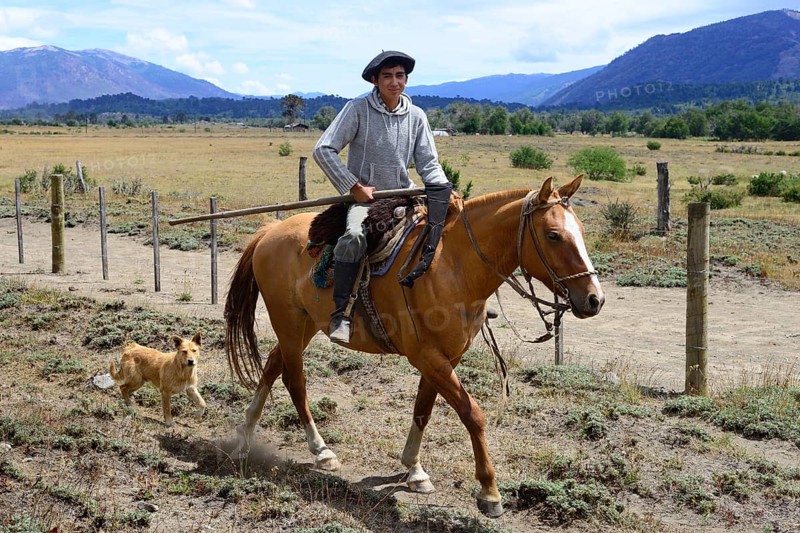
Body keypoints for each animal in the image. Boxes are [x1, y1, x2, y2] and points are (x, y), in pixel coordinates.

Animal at [224, 175, 605, 517]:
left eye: (582, 231)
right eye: (553, 235)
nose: (594, 299)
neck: (454, 267)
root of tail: (270, 231)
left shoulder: (446, 357)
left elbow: (424, 408)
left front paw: (414, 470)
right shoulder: (426, 356)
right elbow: (472, 414)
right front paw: (489, 492)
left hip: (303, 325)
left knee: (273, 365)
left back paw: (245, 433)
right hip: (288, 322)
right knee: (295, 381)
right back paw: (321, 450)